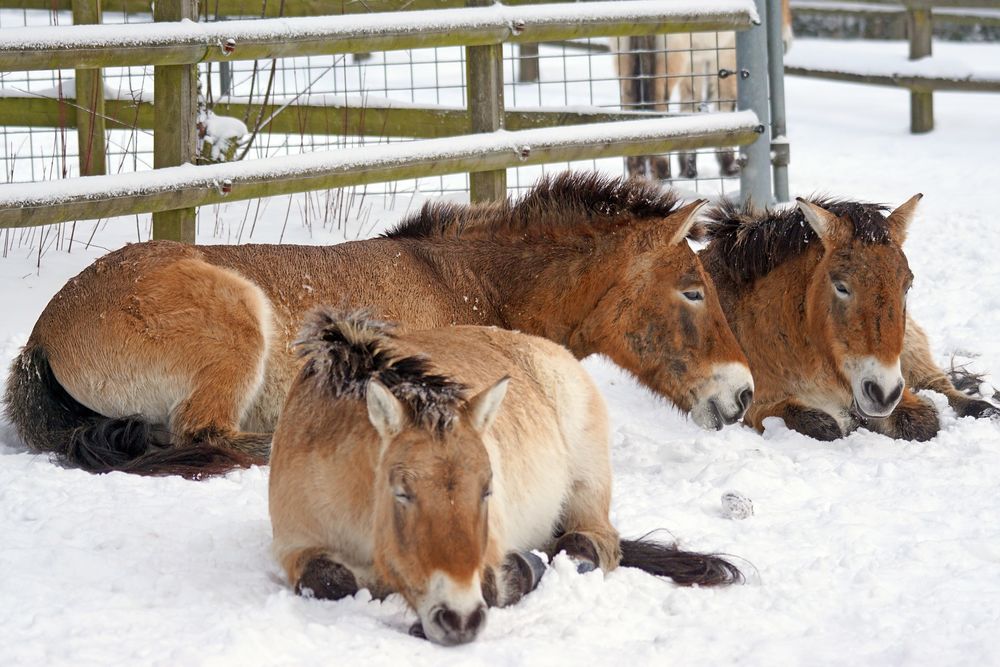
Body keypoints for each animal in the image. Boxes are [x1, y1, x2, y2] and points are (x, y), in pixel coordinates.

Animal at [4, 172, 753, 478]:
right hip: (238, 325)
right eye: (692, 291)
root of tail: (44, 332)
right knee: (208, 438)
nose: (743, 393)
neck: (467, 285)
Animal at [269, 308, 743, 646]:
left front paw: (520, 571)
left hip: (586, 484)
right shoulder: (295, 547)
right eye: (401, 492)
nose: (457, 618)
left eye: (487, 489)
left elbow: (495, 582)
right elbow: (328, 580)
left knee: (591, 543)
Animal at [613, 0, 793, 180]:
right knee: (657, 107)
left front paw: (688, 169)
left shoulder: (695, 63)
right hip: (669, 62)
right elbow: (724, 106)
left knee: (629, 104)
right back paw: (663, 174)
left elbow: (690, 108)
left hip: (626, 59)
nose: (786, 42)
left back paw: (638, 176)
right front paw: (729, 167)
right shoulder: (725, 55)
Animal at [699, 195, 999, 441]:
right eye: (841, 287)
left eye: (907, 285)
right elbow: (823, 425)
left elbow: (923, 420)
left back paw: (986, 409)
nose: (882, 392)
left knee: (940, 384)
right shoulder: (755, 406)